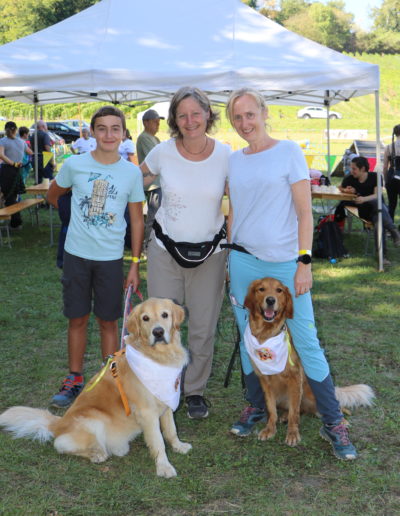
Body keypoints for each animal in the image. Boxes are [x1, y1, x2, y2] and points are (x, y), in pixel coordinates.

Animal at [0, 298, 191, 478]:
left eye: (165, 315)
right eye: (145, 318)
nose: (158, 332)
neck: (158, 356)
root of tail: (59, 423)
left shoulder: (167, 402)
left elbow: (171, 430)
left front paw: (179, 446)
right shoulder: (147, 411)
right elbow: (158, 441)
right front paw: (164, 467)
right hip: (93, 419)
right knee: (61, 445)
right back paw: (97, 453)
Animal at [244, 277, 375, 446]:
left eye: (279, 290)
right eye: (261, 289)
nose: (270, 300)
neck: (266, 335)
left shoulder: (295, 378)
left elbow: (294, 413)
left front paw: (292, 434)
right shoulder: (265, 380)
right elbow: (272, 409)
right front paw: (270, 429)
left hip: (312, 394)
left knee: (332, 407)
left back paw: (341, 421)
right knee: (298, 410)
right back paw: (284, 416)